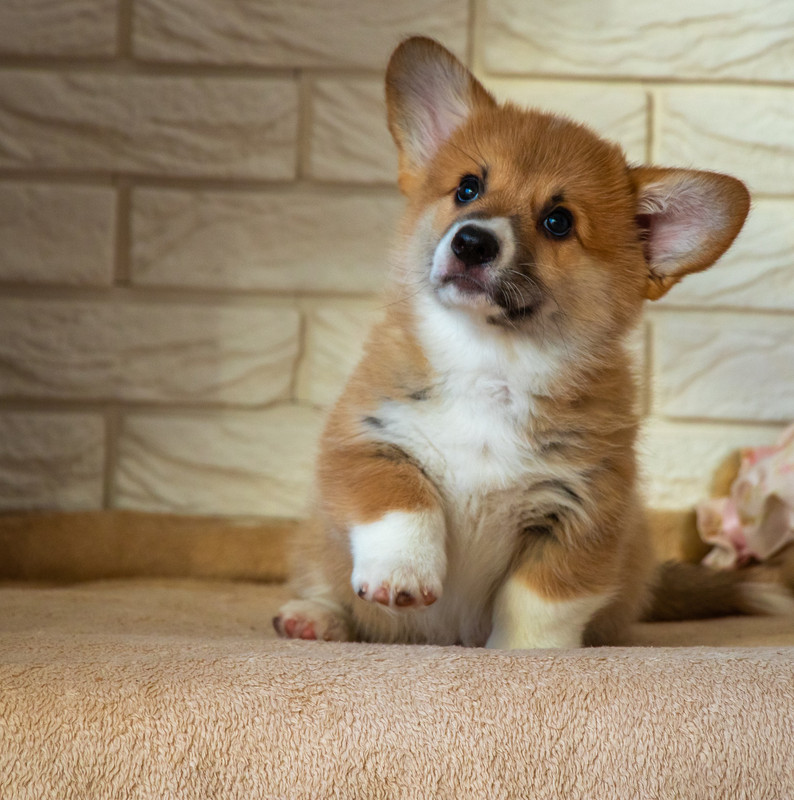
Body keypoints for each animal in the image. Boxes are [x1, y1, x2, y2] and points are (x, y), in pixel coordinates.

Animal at [272, 36, 748, 648]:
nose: (472, 242)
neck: (491, 361)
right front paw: (403, 574)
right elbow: (401, 503)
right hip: (317, 543)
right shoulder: (367, 442)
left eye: (558, 222)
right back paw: (315, 617)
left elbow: (539, 598)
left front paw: (525, 654)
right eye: (467, 188)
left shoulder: (584, 511)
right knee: (323, 579)